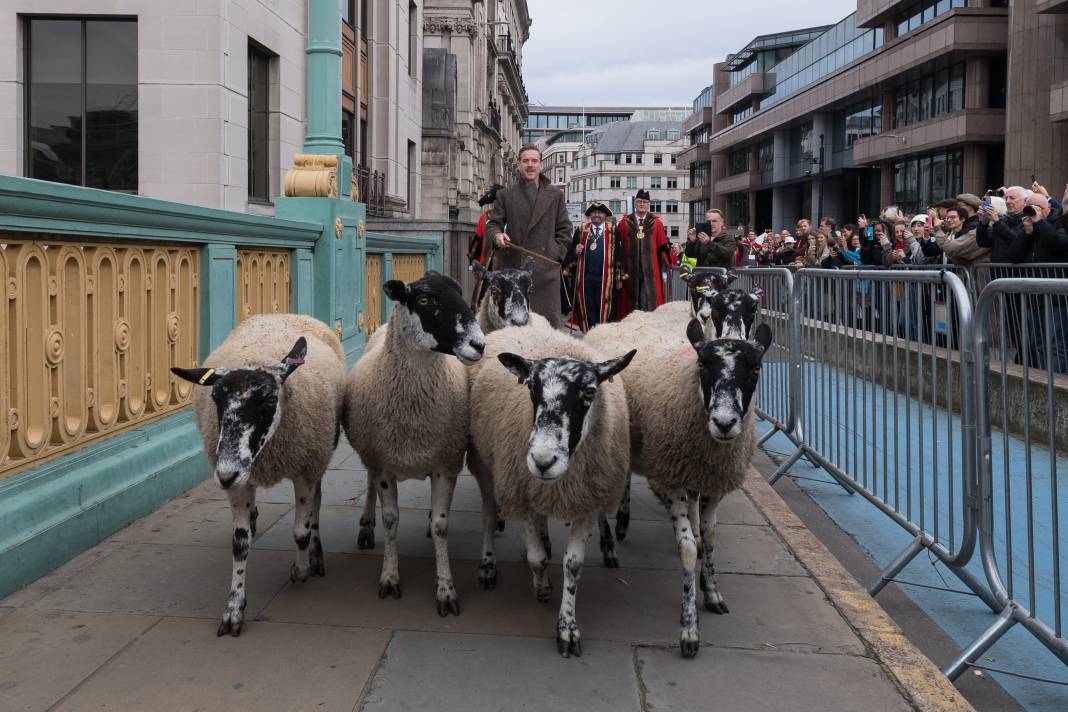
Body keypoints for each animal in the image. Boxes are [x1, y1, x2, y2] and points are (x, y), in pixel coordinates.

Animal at [171, 313, 346, 636]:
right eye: (216, 400)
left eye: (268, 401)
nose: (224, 474)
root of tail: (284, 314)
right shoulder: (239, 482)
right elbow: (239, 544)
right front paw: (233, 610)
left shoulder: (304, 470)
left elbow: (301, 531)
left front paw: (300, 570)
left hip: (319, 455)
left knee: (316, 504)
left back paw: (315, 555)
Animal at [343, 270, 487, 614]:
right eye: (423, 299)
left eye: (460, 292)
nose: (478, 344)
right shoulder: (383, 465)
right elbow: (391, 520)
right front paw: (389, 579)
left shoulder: (446, 465)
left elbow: (441, 526)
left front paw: (446, 591)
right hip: (371, 454)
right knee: (368, 483)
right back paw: (365, 526)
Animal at [469, 320, 632, 661]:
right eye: (531, 388)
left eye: (589, 391)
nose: (543, 461)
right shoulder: (520, 490)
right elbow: (536, 558)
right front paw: (542, 588)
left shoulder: (585, 501)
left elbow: (573, 565)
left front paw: (567, 628)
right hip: (485, 463)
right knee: (489, 514)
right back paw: (488, 565)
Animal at [580, 313, 773, 661]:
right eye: (703, 365)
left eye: (755, 369)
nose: (724, 423)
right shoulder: (669, 480)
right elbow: (688, 549)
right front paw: (689, 630)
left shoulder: (713, 485)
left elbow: (709, 540)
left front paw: (712, 591)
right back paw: (610, 544)